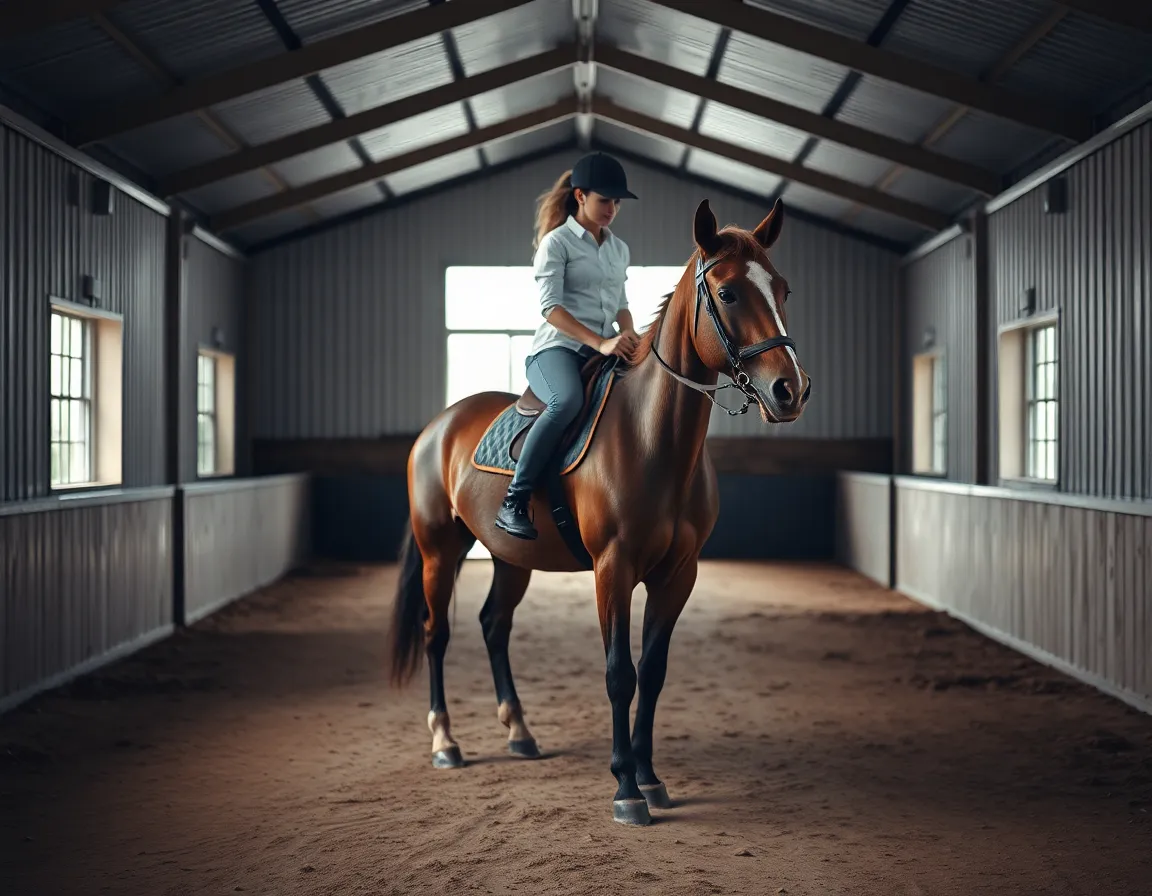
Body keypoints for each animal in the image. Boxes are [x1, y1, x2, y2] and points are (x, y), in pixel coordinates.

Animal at [387, 197, 811, 826]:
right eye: (729, 293)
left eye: (781, 289)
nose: (791, 390)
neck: (652, 439)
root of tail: (438, 427)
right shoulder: (614, 568)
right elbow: (619, 674)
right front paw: (626, 789)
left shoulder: (678, 574)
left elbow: (653, 673)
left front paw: (652, 778)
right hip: (440, 548)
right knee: (436, 633)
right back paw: (446, 743)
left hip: (510, 557)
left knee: (494, 625)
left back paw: (520, 733)